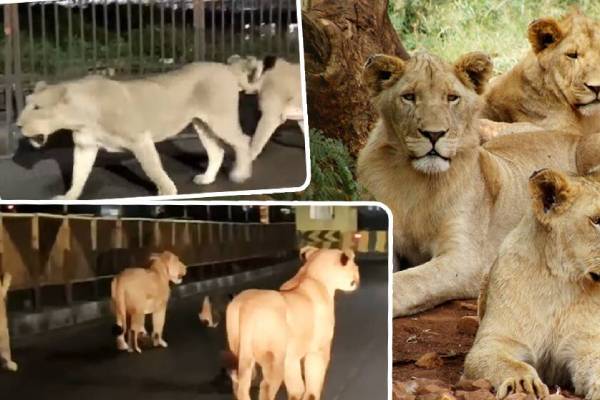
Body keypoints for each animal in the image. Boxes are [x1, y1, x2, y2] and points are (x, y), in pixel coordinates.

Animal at [15, 61, 251, 199]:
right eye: (26, 103)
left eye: (37, 107)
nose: (17, 125)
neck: (81, 117)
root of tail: (228, 68)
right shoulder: (85, 146)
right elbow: (78, 174)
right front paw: (69, 198)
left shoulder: (140, 140)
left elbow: (154, 170)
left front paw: (167, 193)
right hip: (202, 124)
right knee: (217, 150)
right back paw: (207, 178)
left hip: (221, 119)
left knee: (243, 141)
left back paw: (240, 174)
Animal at [223, 247, 358, 400]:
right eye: (355, 266)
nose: (357, 278)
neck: (310, 274)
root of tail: (246, 307)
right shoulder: (318, 350)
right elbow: (313, 382)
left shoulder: (291, 357)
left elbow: (296, 387)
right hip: (273, 358)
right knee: (266, 387)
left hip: (241, 354)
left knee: (240, 387)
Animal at [356, 51, 600, 318]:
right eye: (409, 97)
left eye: (452, 98)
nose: (434, 134)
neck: (416, 181)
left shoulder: (465, 259)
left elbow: (407, 282)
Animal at [466, 170, 600, 400]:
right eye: (597, 220)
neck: (561, 283)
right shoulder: (494, 342)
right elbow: (513, 365)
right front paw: (522, 385)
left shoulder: (587, 344)